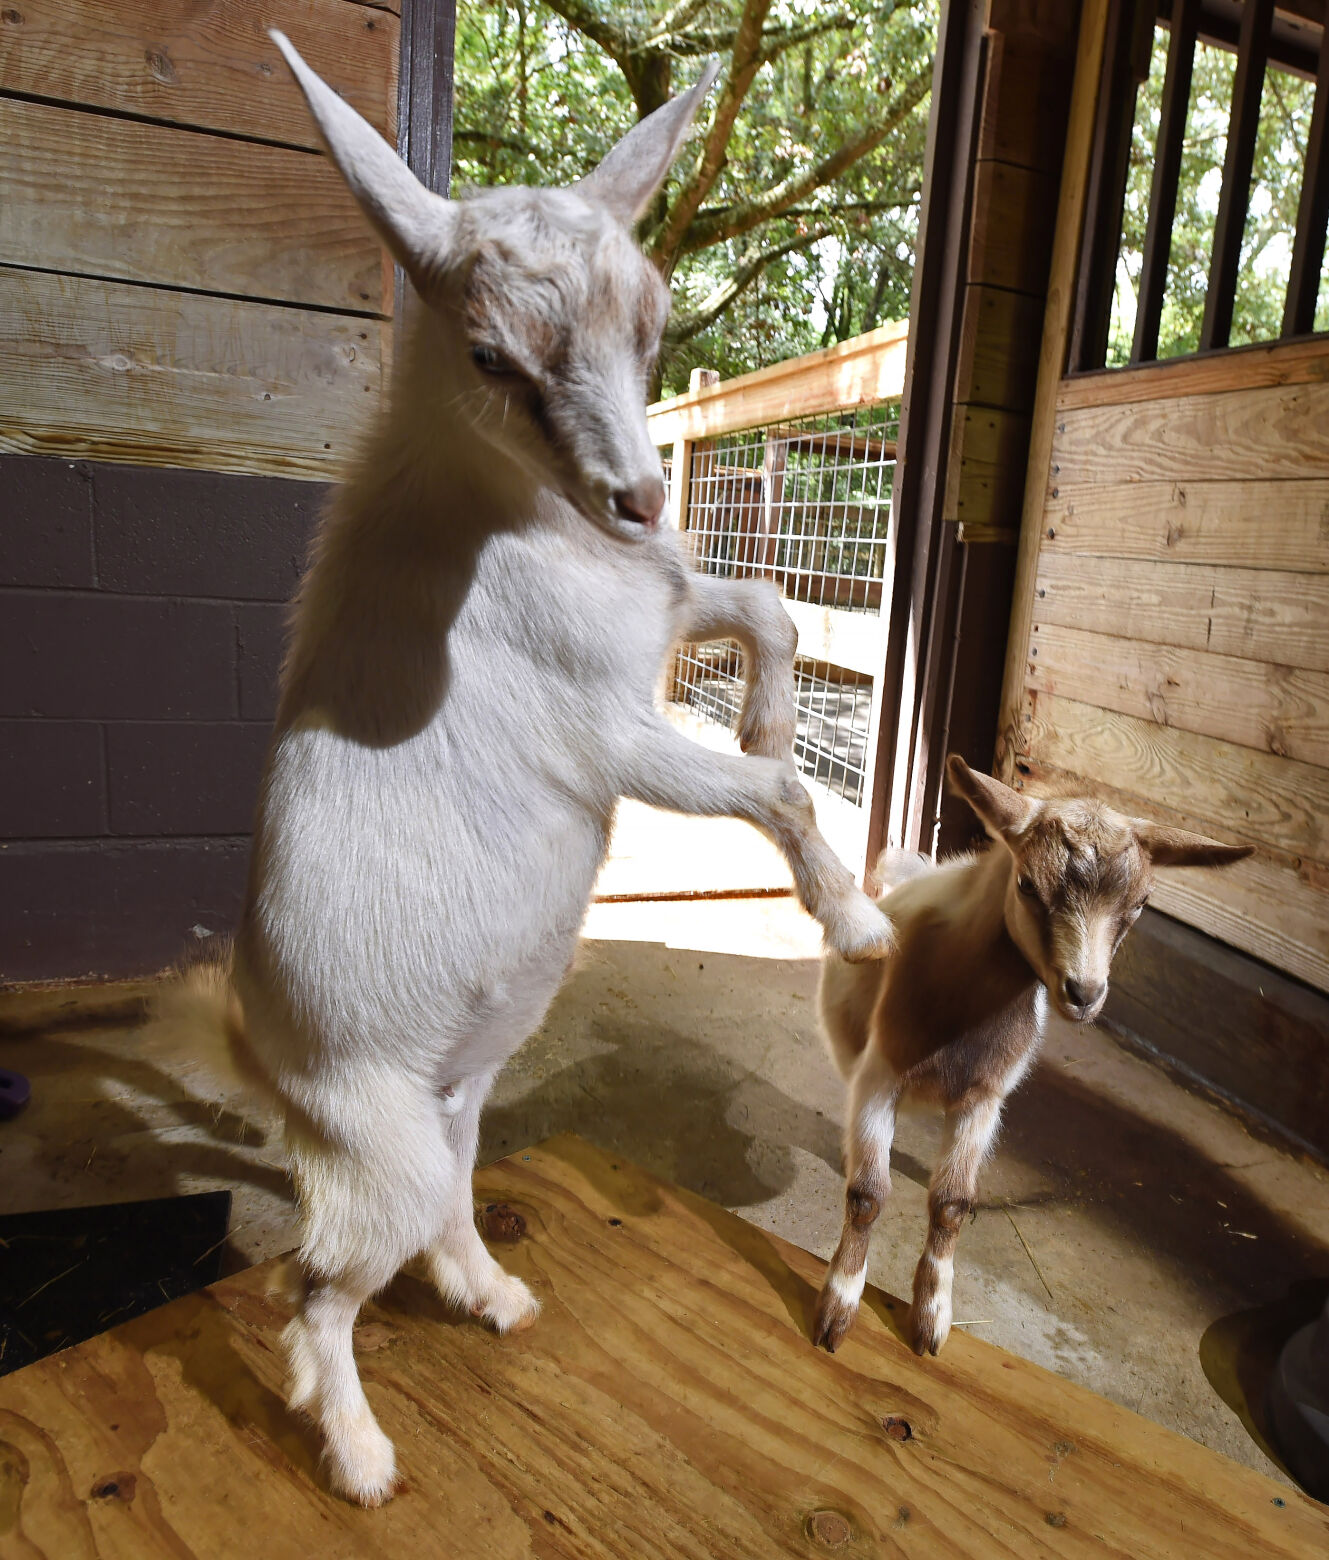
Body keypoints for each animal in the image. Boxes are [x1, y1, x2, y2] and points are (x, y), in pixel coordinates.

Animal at [168, 33, 892, 1497]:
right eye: (488, 351)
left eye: (653, 324)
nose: (637, 498)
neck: (502, 511)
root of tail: (261, 1048)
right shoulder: (609, 734)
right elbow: (774, 790)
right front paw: (853, 922)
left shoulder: (659, 615)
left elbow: (768, 611)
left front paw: (771, 717)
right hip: (375, 1153)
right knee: (312, 1291)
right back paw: (360, 1457)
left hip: (451, 1108)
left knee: (442, 1214)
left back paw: (495, 1299)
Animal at [804, 761, 1254, 1360]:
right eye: (1026, 884)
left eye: (1139, 904)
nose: (1084, 994)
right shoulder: (881, 1076)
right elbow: (867, 1195)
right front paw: (837, 1310)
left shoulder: (984, 1099)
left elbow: (952, 1203)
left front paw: (931, 1319)